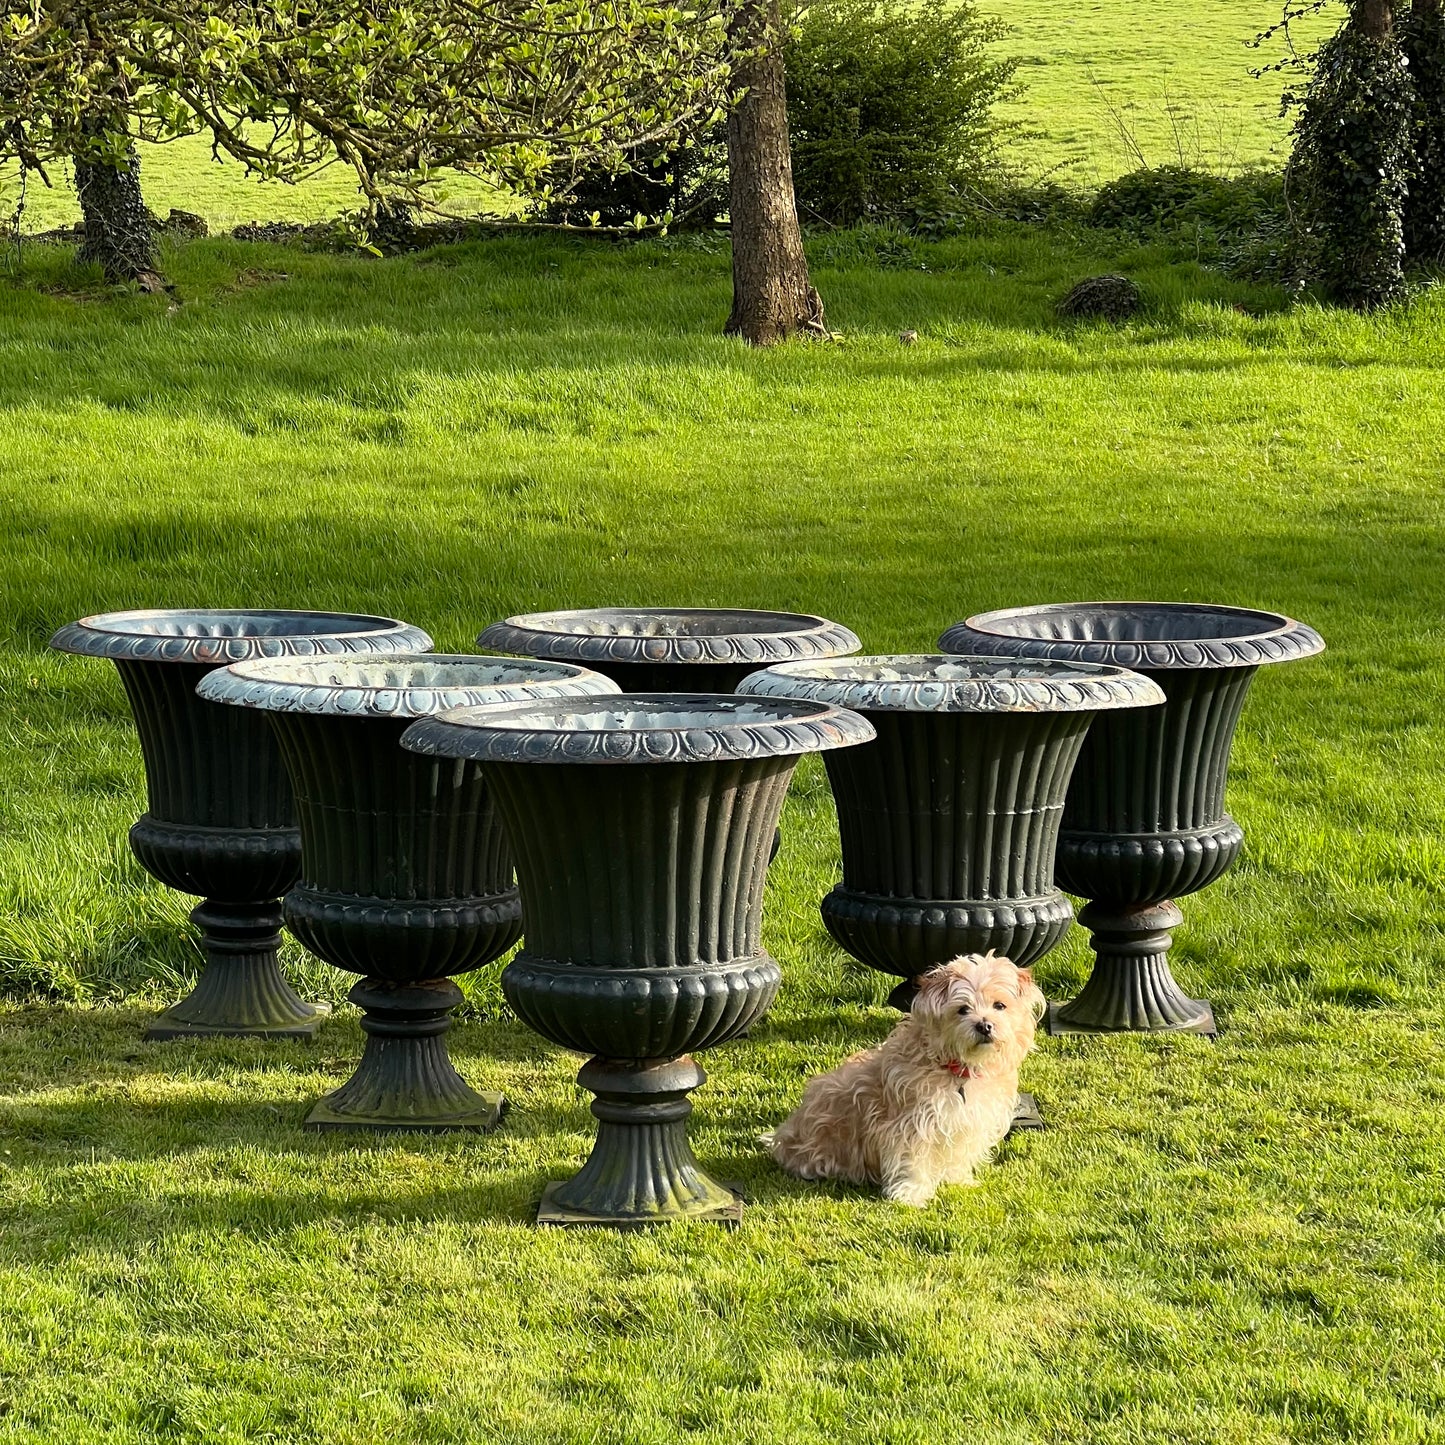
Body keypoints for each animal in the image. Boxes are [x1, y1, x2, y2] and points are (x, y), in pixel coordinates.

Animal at [774, 953, 1046, 1202]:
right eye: (962, 1009)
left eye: (1000, 1005)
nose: (984, 1025)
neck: (959, 1070)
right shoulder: (910, 1123)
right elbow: (911, 1159)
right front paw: (911, 1193)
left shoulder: (967, 1122)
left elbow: (958, 1154)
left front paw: (958, 1179)